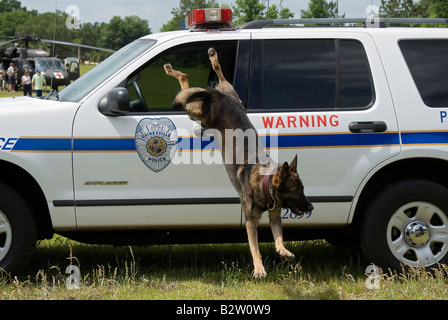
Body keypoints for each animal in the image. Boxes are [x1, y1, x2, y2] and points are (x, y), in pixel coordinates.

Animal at [163, 47, 314, 278]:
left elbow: (279, 237)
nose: (311, 206)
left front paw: (284, 251)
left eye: (303, 189)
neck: (264, 183)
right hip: (194, 111)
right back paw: (184, 67)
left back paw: (211, 59)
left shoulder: (275, 216)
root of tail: (217, 95)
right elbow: (255, 249)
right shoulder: (251, 223)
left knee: (210, 78)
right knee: (187, 82)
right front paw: (259, 269)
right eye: (296, 190)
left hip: (218, 103)